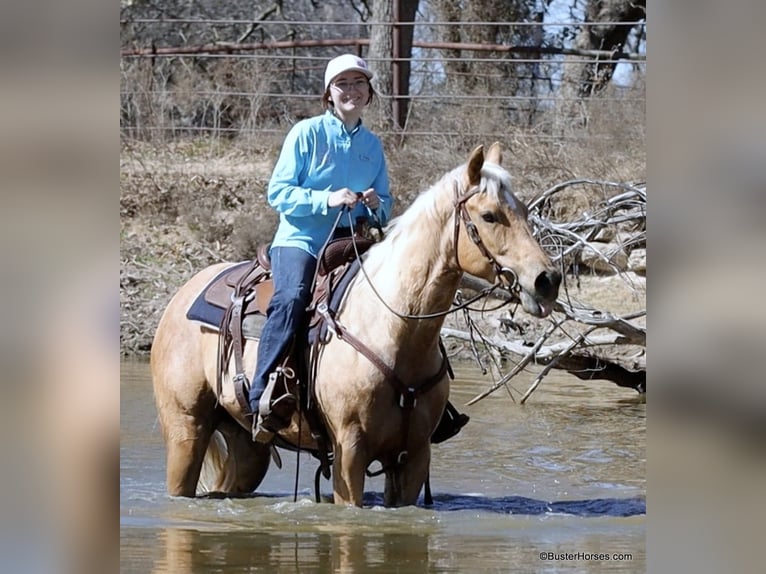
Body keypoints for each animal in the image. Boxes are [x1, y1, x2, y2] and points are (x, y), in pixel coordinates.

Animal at [151, 142, 561, 506]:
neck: (394, 329)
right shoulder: (350, 452)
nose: (548, 280)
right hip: (186, 429)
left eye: (524, 212)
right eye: (489, 215)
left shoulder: (413, 458)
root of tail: (181, 295)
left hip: (245, 444)